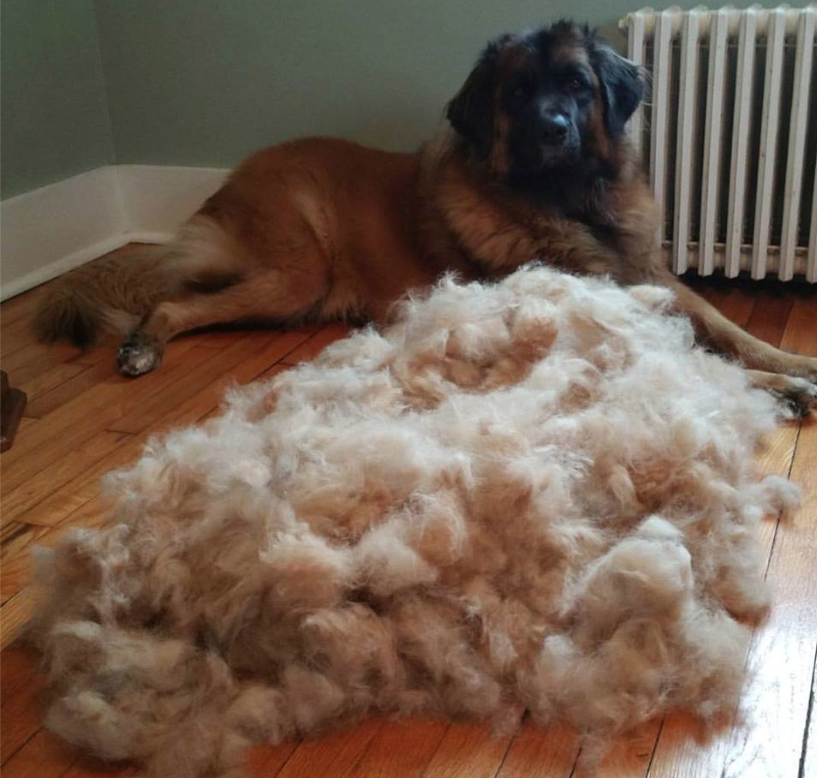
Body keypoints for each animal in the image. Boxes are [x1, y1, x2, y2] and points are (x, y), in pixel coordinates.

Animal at [33, 21, 816, 412]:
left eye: (576, 85)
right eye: (518, 92)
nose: (553, 129)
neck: (566, 203)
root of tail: (232, 178)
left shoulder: (647, 277)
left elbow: (724, 327)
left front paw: (790, 362)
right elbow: (690, 358)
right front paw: (777, 390)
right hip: (295, 277)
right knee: (171, 301)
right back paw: (141, 345)